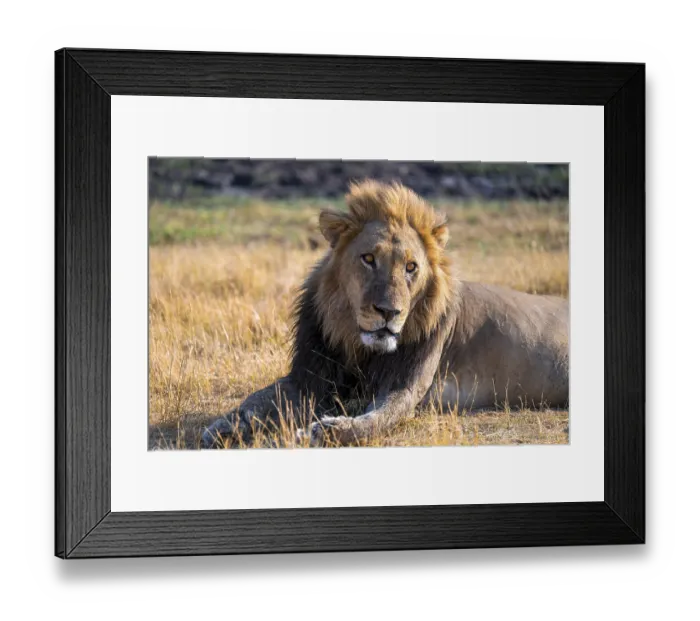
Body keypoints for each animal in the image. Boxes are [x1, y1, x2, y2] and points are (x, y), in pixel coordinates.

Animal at [202, 180, 569, 448]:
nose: (389, 312)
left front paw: (327, 430)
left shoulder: (405, 386)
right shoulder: (308, 377)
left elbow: (377, 419)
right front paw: (224, 426)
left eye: (411, 267)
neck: (357, 345)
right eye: (368, 259)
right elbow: (258, 398)